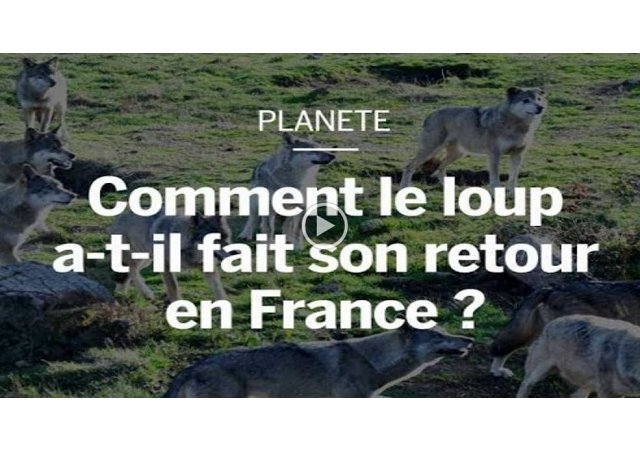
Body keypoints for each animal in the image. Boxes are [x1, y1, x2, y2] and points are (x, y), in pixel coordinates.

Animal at [399, 87, 546, 191]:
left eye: (538, 99)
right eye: (525, 100)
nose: (541, 107)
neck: (516, 125)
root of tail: (430, 115)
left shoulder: (518, 155)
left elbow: (513, 178)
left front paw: (513, 195)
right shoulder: (494, 155)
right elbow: (495, 179)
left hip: (458, 154)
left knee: (440, 168)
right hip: (431, 150)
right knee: (409, 166)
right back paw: (405, 187)